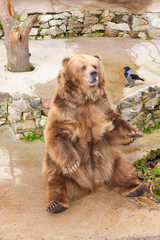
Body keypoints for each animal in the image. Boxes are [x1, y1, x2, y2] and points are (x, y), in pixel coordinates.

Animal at [42, 54, 148, 214]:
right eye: (83, 67)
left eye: (95, 65)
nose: (94, 73)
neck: (85, 97)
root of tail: (93, 185)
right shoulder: (66, 109)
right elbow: (57, 134)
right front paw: (73, 164)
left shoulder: (100, 107)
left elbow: (114, 125)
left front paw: (135, 131)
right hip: (55, 165)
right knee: (55, 180)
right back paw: (56, 204)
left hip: (111, 160)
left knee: (123, 167)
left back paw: (136, 187)